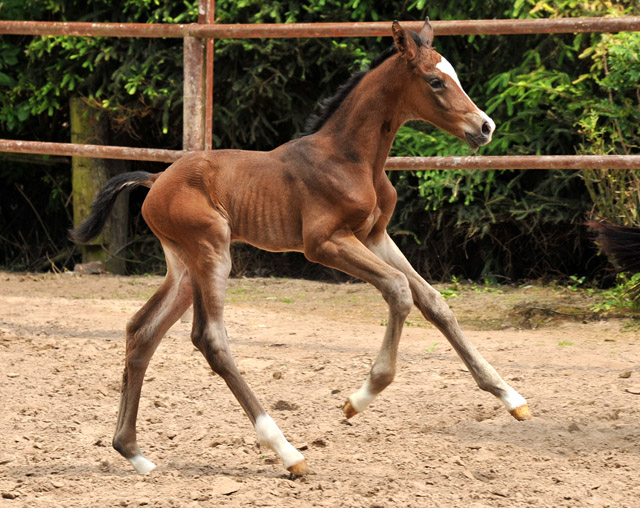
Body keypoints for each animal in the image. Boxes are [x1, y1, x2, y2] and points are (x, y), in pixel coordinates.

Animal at [71, 19, 528, 478]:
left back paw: (134, 453)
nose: (485, 126)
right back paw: (288, 453)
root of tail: (155, 180)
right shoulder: (324, 243)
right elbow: (399, 290)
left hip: (184, 267)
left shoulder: (375, 236)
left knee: (142, 331)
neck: (352, 158)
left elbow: (433, 301)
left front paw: (511, 397)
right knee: (210, 338)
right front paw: (358, 399)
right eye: (435, 81)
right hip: (212, 251)